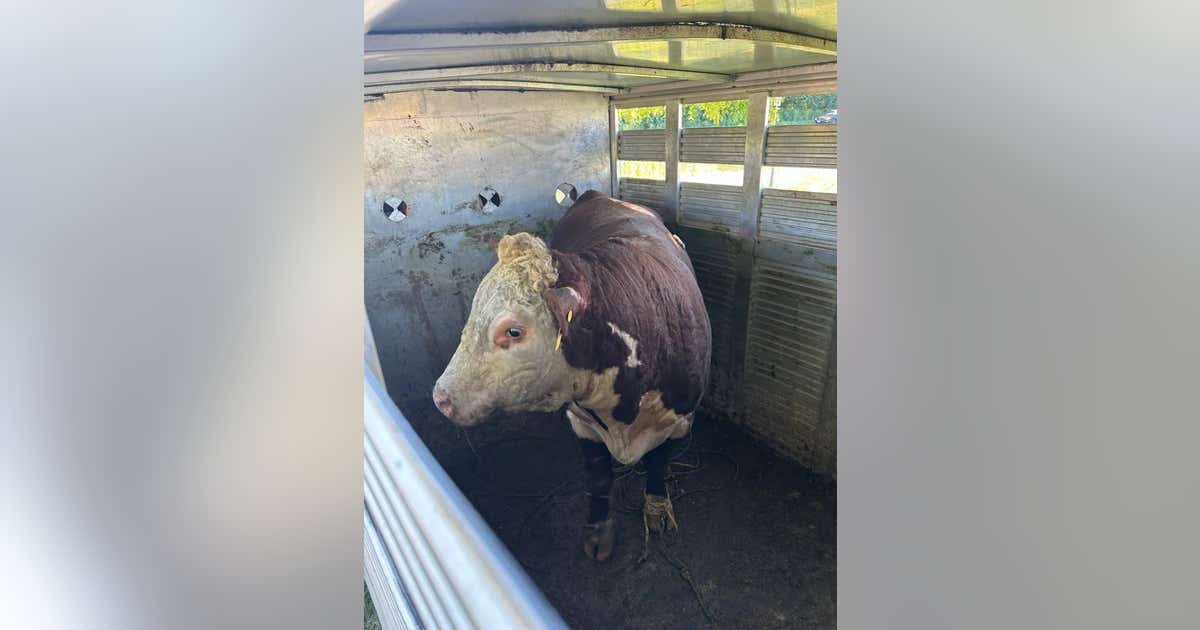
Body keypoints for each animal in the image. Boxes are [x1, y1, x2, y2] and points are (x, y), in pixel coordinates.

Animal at [432, 190, 712, 561]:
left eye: (514, 331)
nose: (440, 397)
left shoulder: (680, 418)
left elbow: (658, 465)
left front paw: (656, 511)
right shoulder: (581, 421)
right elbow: (599, 477)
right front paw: (599, 532)